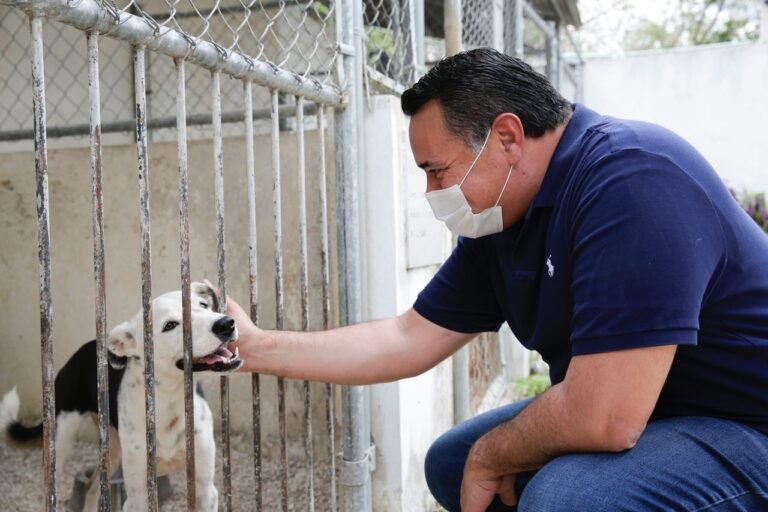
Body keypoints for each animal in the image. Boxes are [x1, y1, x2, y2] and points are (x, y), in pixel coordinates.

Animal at [0, 282, 242, 510]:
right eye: (170, 325)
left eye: (203, 305)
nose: (226, 323)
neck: (169, 401)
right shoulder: (137, 496)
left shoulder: (205, 489)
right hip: (60, 442)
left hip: (113, 453)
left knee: (92, 489)